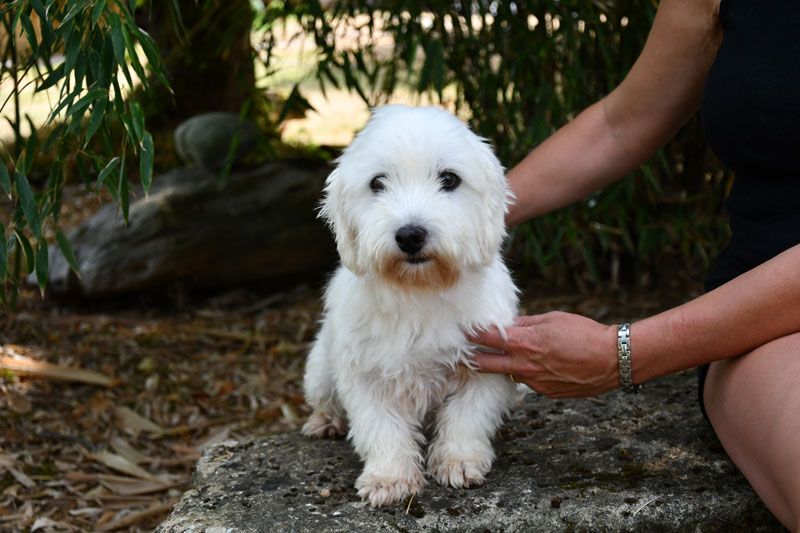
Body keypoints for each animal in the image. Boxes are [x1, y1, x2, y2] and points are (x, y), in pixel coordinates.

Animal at [302, 105, 520, 507]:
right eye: (377, 183)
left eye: (449, 179)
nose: (410, 234)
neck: (420, 288)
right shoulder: (365, 370)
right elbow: (380, 426)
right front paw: (389, 478)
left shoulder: (485, 358)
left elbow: (468, 415)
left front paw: (459, 460)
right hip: (320, 371)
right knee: (325, 399)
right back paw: (324, 421)